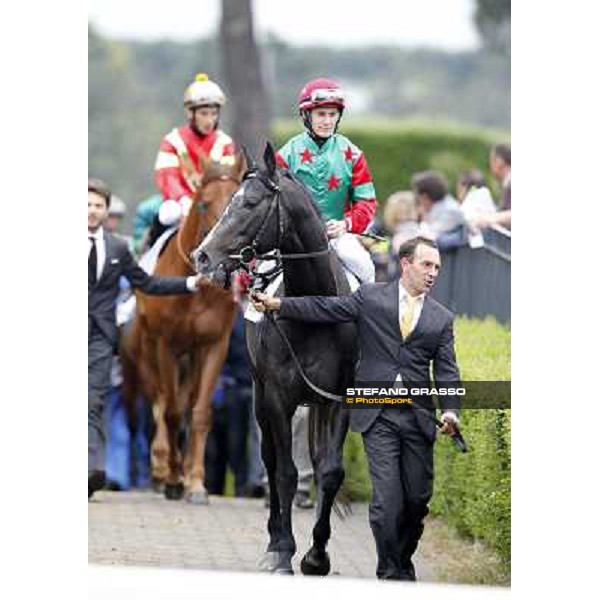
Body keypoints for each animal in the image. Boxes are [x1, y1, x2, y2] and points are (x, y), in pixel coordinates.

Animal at [123, 152, 245, 504]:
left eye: (237, 199)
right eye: (204, 204)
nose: (224, 254)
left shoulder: (213, 345)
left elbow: (199, 412)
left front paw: (196, 482)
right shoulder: (167, 345)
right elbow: (172, 413)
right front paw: (175, 479)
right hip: (147, 357)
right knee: (160, 404)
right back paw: (162, 469)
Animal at [192, 143, 356, 576]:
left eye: (249, 203)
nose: (202, 256)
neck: (314, 309)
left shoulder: (340, 398)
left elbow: (330, 470)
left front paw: (317, 555)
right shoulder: (278, 396)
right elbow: (283, 471)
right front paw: (282, 551)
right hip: (260, 394)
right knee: (269, 458)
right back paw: (273, 540)